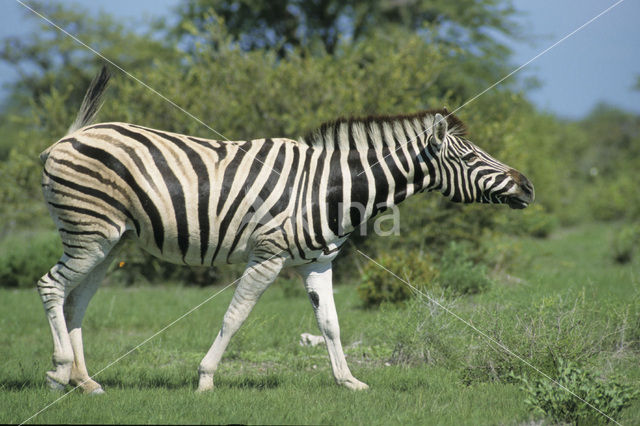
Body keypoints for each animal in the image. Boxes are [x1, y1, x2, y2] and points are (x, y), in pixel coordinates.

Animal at [36, 65, 536, 394]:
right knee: (50, 285)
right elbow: (234, 316)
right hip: (89, 234)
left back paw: (86, 382)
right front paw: (205, 380)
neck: (326, 188)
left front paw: (349, 381)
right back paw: (59, 370)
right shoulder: (268, 256)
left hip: (110, 240)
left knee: (76, 301)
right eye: (470, 158)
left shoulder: (318, 262)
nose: (528, 186)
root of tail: (70, 136)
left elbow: (331, 323)